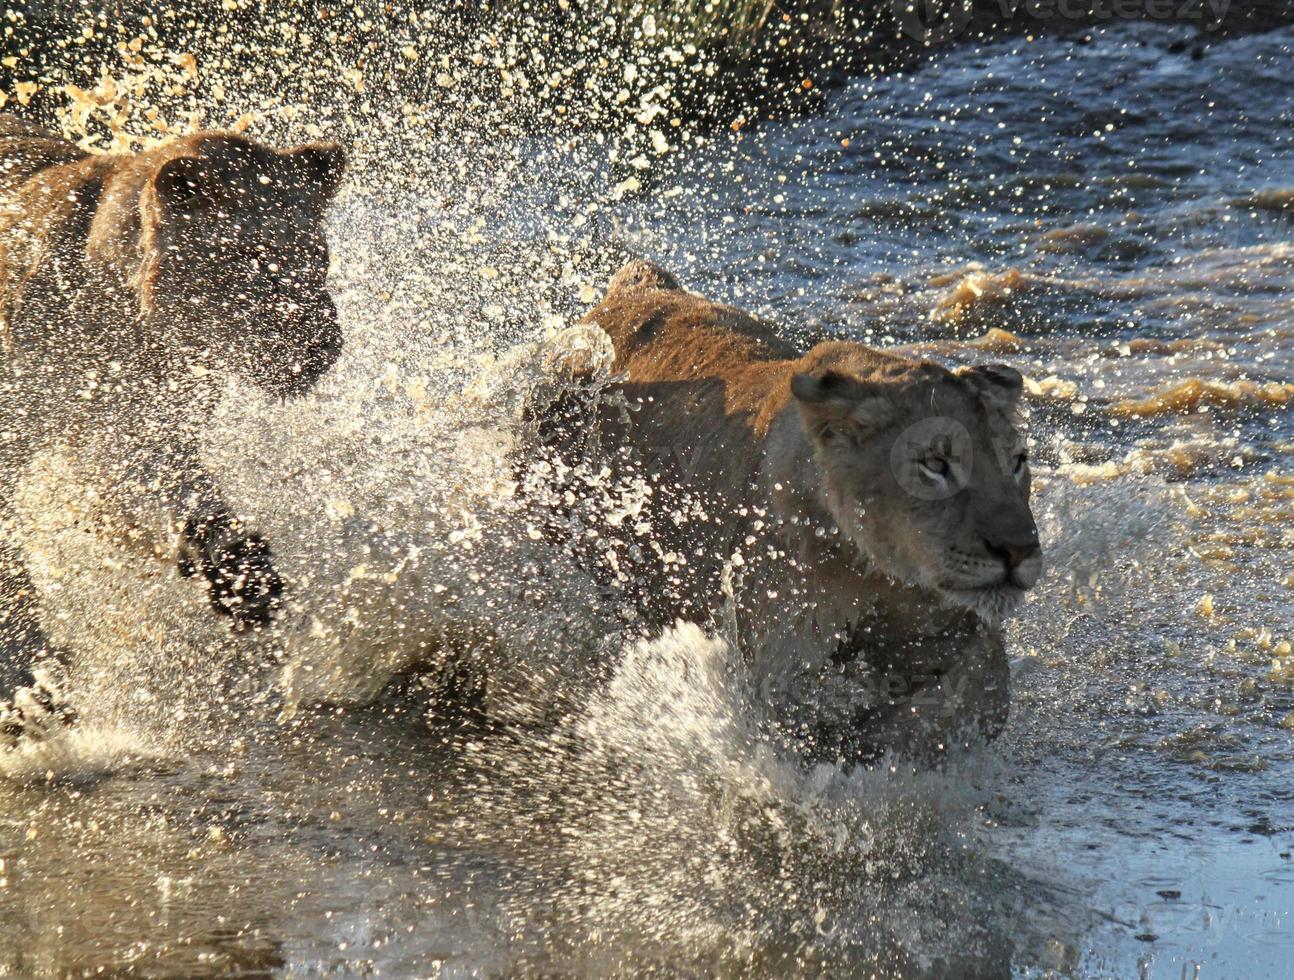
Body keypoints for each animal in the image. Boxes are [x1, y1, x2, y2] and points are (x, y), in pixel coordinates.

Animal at [0, 114, 344, 740]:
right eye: (248, 255)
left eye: (317, 253)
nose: (321, 346)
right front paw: (27, 689)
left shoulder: (141, 428)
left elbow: (175, 494)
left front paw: (243, 578)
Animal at [535, 261, 1040, 766]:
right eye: (935, 465)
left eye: (1018, 461)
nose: (1019, 551)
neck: (874, 570)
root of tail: (636, 285)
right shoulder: (776, 672)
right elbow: (814, 717)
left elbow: (985, 686)